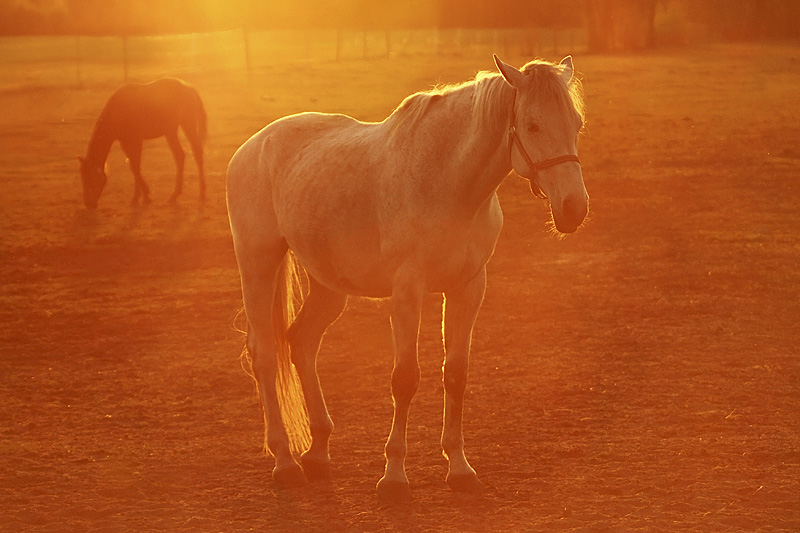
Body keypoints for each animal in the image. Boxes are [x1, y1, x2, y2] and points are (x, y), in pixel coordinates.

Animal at [78, 78, 206, 209]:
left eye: (92, 177)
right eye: (82, 177)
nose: (88, 203)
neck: (119, 110)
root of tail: (189, 87)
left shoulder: (136, 140)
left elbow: (135, 166)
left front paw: (144, 195)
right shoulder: (125, 142)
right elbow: (133, 166)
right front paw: (139, 197)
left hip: (187, 125)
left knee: (197, 153)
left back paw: (201, 194)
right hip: (170, 131)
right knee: (180, 156)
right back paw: (175, 195)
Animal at [225, 56, 588, 500]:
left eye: (576, 123)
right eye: (533, 125)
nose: (574, 209)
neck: (448, 185)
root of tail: (252, 146)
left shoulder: (469, 288)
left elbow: (456, 374)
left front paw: (460, 468)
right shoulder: (407, 293)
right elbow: (405, 380)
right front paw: (394, 477)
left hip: (328, 285)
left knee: (302, 343)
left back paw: (319, 452)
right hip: (258, 265)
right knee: (264, 355)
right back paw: (284, 462)